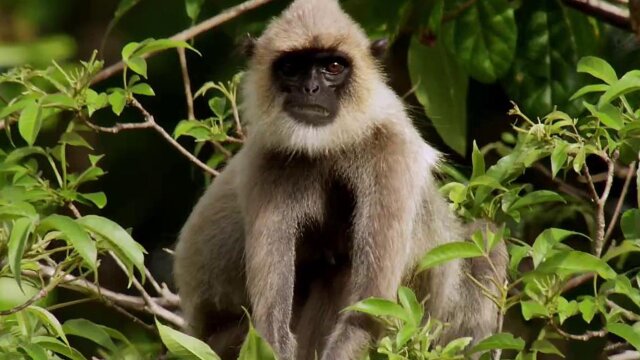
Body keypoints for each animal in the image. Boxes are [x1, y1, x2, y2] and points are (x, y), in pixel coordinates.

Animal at [172, 0, 508, 360]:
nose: (311, 89)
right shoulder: (267, 163)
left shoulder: (392, 153)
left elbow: (365, 315)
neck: (327, 147)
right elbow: (270, 327)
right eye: (291, 68)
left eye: (333, 66)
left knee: (483, 238)